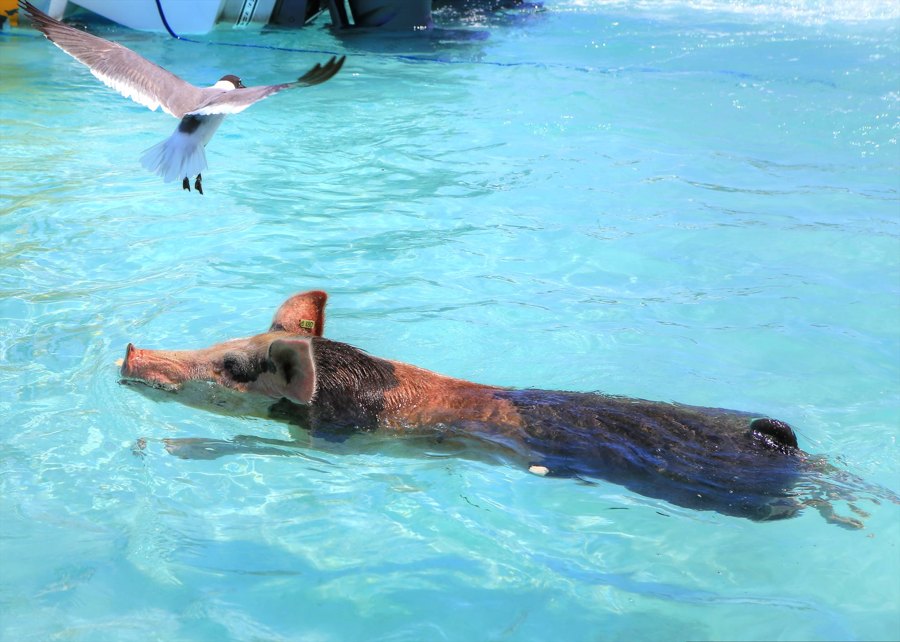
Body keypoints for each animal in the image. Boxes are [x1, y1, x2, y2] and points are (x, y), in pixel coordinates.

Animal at [120, 290, 896, 528]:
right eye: (223, 342)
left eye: (233, 367)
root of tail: (784, 445)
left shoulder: (337, 442)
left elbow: (255, 444)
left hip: (751, 496)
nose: (128, 353)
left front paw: (175, 449)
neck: (361, 382)